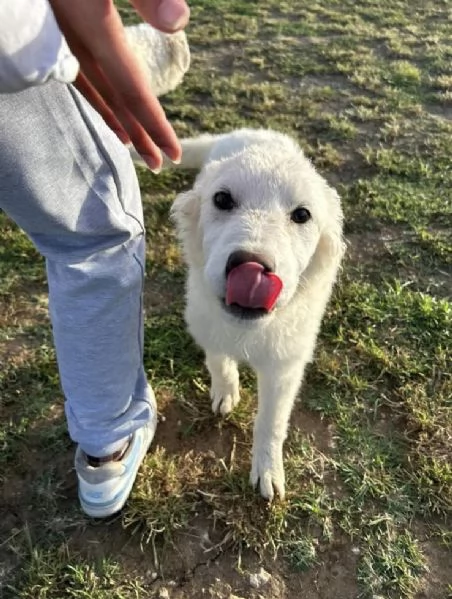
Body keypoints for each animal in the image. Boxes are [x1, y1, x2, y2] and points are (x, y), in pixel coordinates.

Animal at [158, 129, 342, 500]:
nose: (251, 266)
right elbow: (218, 361)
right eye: (222, 199)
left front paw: (267, 469)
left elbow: (270, 422)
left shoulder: (284, 367)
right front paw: (226, 390)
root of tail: (252, 131)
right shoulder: (205, 321)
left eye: (302, 215)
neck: (247, 331)